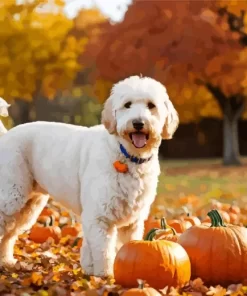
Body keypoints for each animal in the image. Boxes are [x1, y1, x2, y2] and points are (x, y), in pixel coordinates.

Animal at [0, 76, 178, 278]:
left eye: (151, 105)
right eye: (127, 105)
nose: (138, 123)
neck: (126, 155)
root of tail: (6, 136)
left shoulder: (131, 222)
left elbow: (123, 246)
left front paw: (92, 270)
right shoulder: (100, 215)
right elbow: (103, 251)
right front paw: (105, 276)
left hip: (28, 206)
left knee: (8, 235)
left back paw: (6, 261)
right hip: (11, 197)